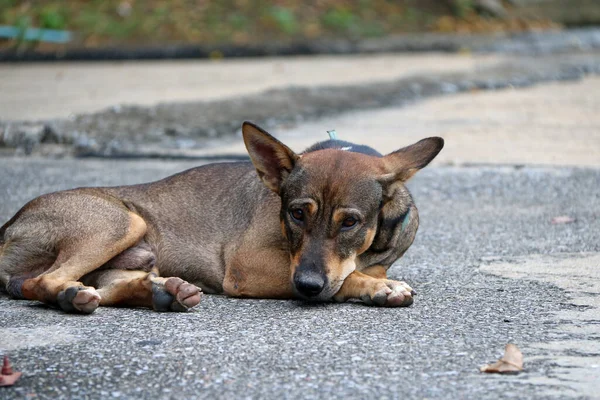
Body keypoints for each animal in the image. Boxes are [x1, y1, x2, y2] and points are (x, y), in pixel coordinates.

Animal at [0, 122, 440, 312]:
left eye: (350, 222)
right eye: (297, 213)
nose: (308, 286)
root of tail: (8, 228)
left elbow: (352, 272)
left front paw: (374, 281)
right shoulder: (248, 267)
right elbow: (346, 278)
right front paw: (376, 287)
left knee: (93, 286)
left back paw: (157, 293)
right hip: (120, 222)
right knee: (43, 281)